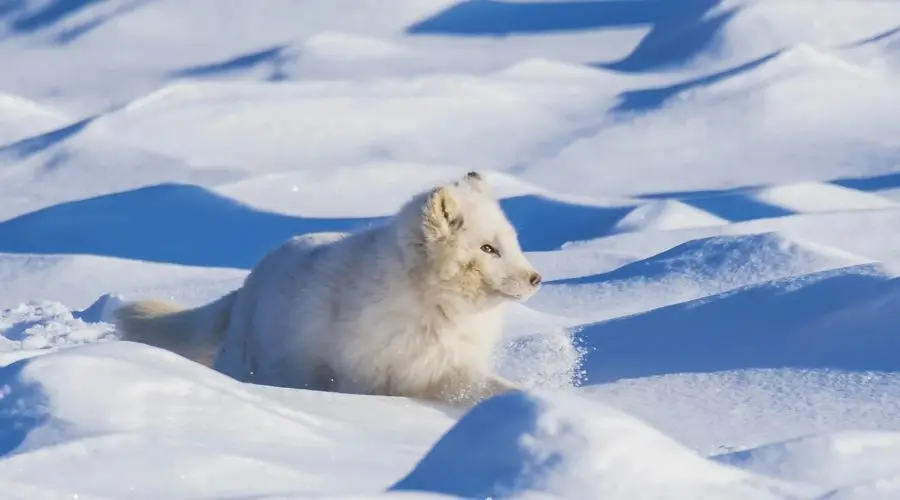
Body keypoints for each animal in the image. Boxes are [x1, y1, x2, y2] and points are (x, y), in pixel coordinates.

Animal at [116, 172, 544, 406]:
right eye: (488, 249)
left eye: (512, 242)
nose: (536, 278)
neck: (435, 309)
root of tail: (246, 286)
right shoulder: (369, 381)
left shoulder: (448, 371)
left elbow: (496, 389)